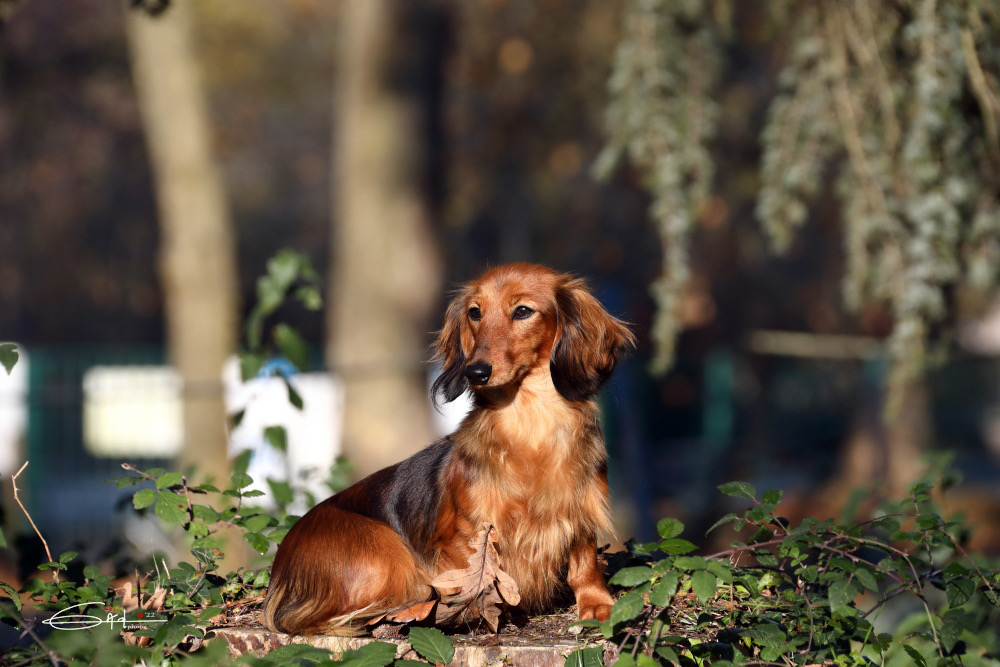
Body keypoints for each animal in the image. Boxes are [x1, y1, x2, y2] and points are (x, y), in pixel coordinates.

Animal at [260, 263, 634, 634]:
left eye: (523, 311)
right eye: (475, 313)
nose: (475, 372)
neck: (530, 424)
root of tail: (280, 568)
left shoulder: (580, 506)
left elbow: (584, 563)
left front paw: (597, 604)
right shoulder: (469, 533)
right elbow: (472, 580)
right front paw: (472, 612)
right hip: (385, 558)